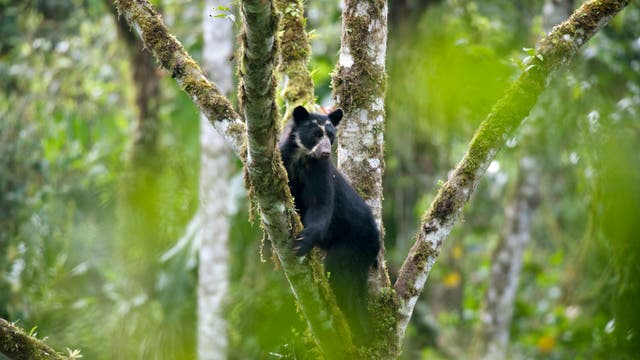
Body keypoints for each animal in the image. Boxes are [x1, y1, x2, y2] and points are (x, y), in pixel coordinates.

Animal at [278, 105, 380, 340]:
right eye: (316, 134)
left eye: (331, 136)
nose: (325, 152)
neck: (302, 158)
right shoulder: (283, 160)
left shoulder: (320, 171)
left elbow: (321, 205)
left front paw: (302, 242)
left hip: (353, 246)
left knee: (338, 273)